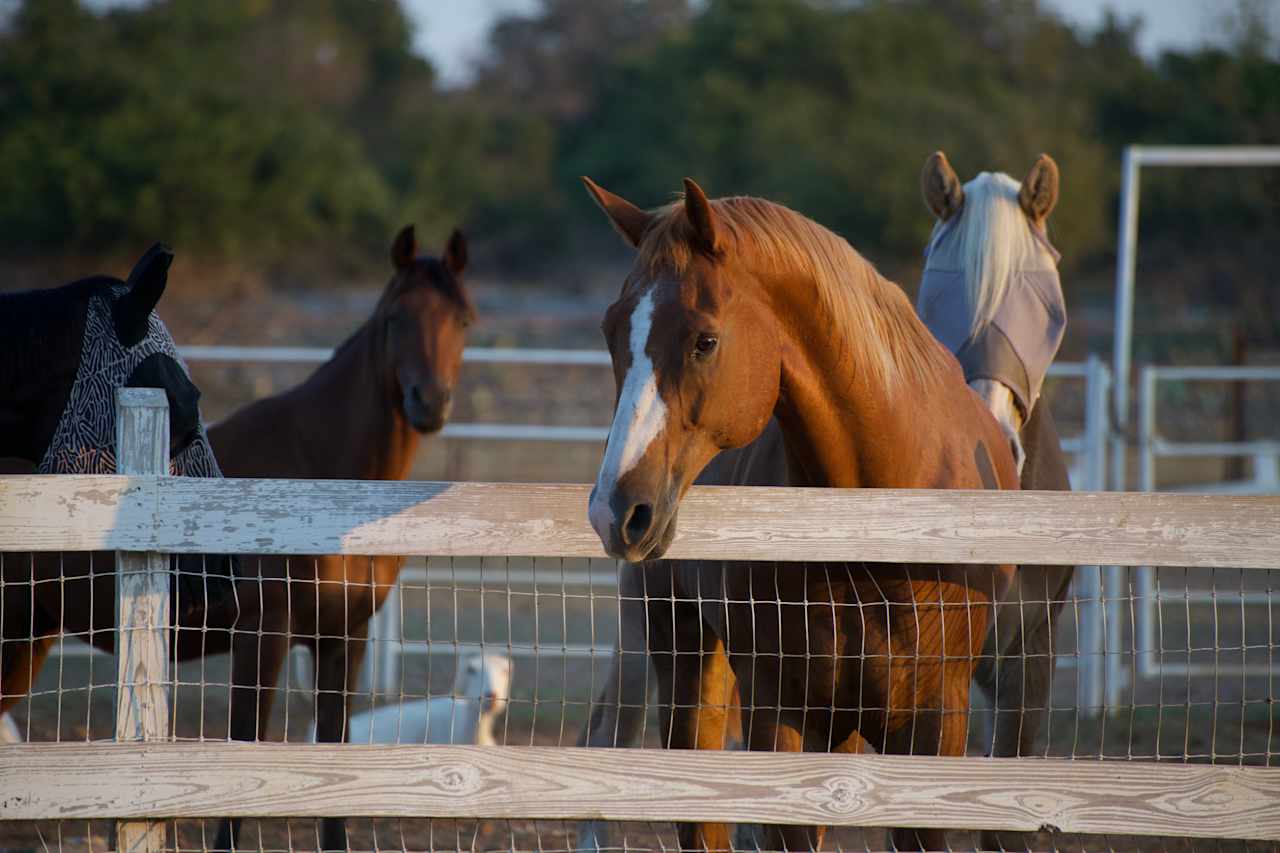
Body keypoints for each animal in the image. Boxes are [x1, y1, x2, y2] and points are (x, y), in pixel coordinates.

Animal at [209, 224, 476, 850]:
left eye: (463, 320)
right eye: (396, 317)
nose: (429, 403)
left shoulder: (342, 636)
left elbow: (335, 746)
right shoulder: (262, 633)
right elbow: (243, 750)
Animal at [583, 175, 1018, 845]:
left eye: (706, 339)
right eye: (611, 332)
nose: (616, 510)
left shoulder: (935, 723)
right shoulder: (784, 717)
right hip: (690, 673)